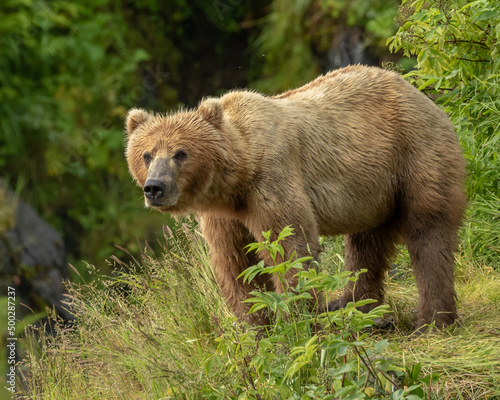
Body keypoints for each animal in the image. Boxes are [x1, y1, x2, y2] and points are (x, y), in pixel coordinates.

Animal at [124, 65, 464, 328]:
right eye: (146, 154)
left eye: (180, 153)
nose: (154, 187)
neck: (237, 176)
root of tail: (418, 91)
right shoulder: (223, 213)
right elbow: (235, 263)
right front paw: (256, 326)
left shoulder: (271, 181)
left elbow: (289, 248)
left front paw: (299, 319)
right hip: (373, 188)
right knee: (367, 242)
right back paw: (352, 304)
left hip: (415, 154)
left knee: (428, 231)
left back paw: (433, 319)